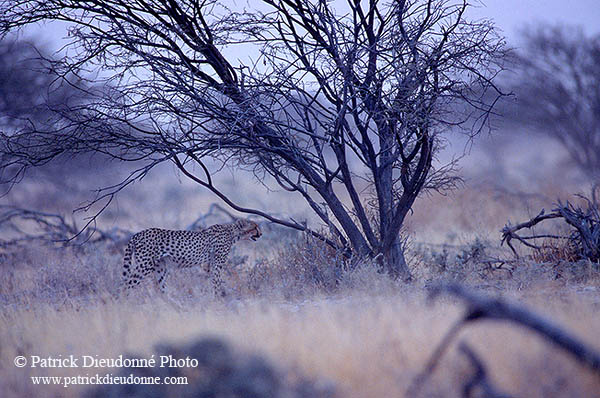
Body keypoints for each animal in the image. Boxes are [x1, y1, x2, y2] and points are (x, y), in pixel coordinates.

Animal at [122, 221, 260, 296]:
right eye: (254, 227)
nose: (261, 233)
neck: (232, 232)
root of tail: (137, 234)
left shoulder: (208, 265)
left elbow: (214, 281)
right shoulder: (216, 264)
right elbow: (216, 281)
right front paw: (218, 299)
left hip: (160, 267)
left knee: (160, 288)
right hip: (144, 265)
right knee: (126, 285)